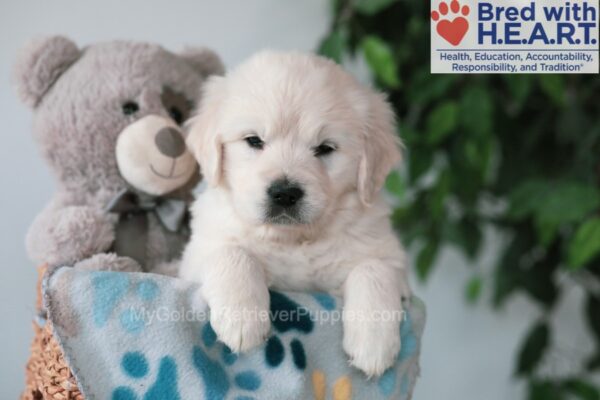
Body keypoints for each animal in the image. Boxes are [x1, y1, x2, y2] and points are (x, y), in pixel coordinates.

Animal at [180, 50, 410, 376]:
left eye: (324, 148)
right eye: (254, 141)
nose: (285, 194)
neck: (293, 240)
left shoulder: (389, 258)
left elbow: (374, 269)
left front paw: (374, 344)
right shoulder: (197, 253)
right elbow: (232, 252)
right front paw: (243, 319)